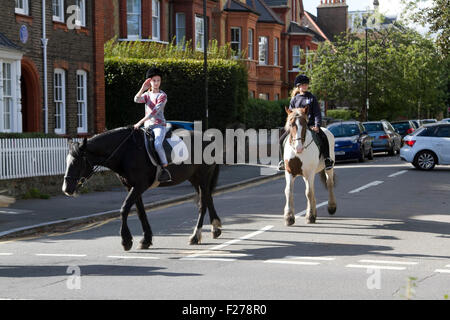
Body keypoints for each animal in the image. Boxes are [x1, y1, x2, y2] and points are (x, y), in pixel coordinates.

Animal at [62, 126, 222, 251]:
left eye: (77, 162)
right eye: (67, 161)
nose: (66, 189)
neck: (126, 151)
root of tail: (210, 137)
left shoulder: (139, 185)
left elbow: (124, 208)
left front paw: (126, 241)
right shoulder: (131, 186)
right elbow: (140, 212)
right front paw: (146, 240)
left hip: (203, 177)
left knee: (203, 204)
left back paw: (195, 236)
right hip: (195, 178)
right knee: (208, 198)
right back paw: (215, 228)